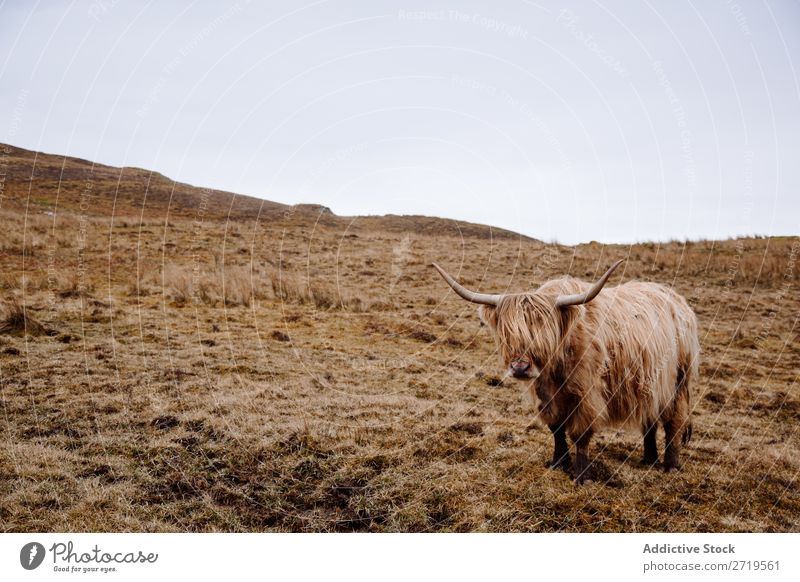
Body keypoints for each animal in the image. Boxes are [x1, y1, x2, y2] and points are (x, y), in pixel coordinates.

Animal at [432, 262, 700, 486]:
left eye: (543, 333)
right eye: (508, 333)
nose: (520, 368)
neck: (556, 369)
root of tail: (677, 299)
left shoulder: (587, 396)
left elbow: (580, 435)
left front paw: (581, 476)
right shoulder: (545, 396)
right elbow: (556, 430)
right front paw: (557, 463)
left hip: (678, 382)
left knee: (674, 420)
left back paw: (670, 465)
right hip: (649, 384)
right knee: (650, 418)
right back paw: (649, 458)